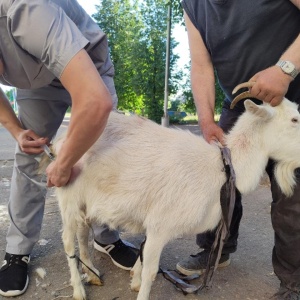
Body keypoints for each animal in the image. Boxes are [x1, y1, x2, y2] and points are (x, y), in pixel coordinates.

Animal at [46, 96, 300, 300]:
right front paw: (140, 288)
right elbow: (150, 271)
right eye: (294, 120)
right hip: (67, 195)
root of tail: (60, 138)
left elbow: (143, 256)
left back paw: (92, 274)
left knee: (82, 234)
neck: (222, 166)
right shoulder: (160, 225)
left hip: (83, 202)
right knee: (68, 239)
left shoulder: (155, 222)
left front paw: (134, 281)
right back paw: (79, 290)